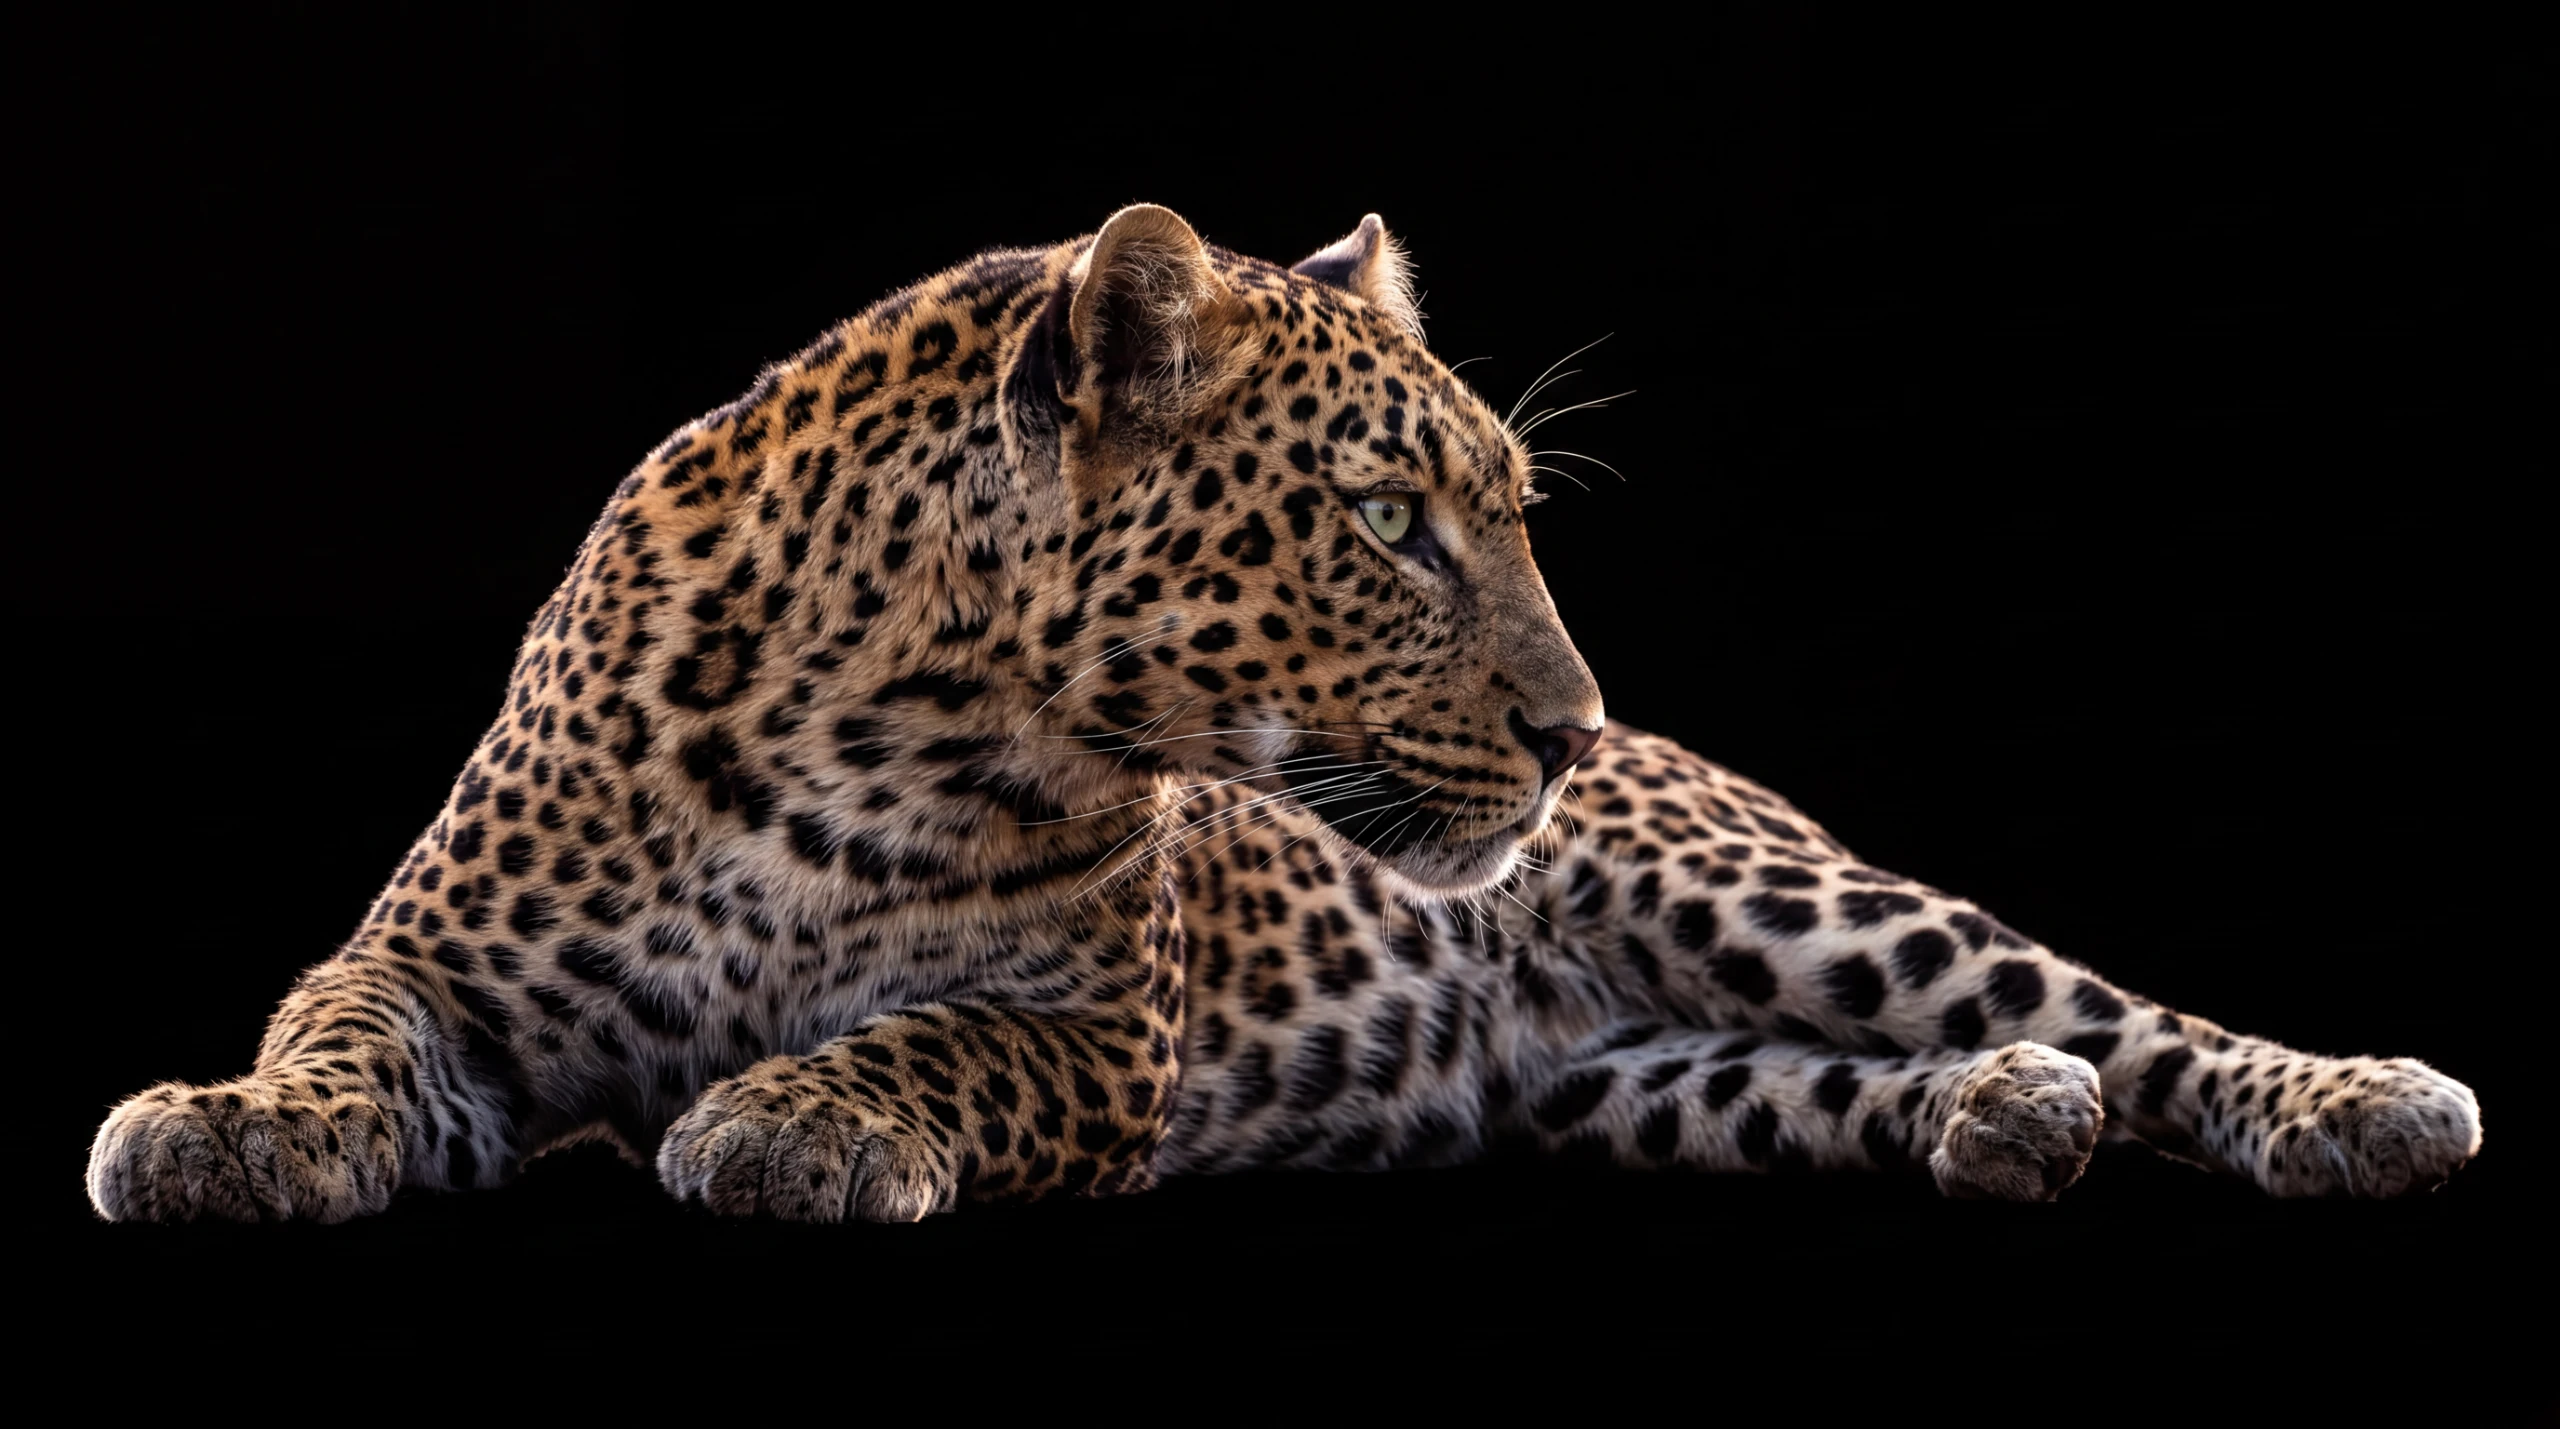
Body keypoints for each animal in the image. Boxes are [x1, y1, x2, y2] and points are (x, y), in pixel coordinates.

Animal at [88, 204, 2483, 1223]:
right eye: (1387, 521)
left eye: (1505, 511)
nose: (1567, 725)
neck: (884, 708)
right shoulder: (438, 962)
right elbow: (338, 1028)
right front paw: (225, 1124)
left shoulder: (1094, 1033)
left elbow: (925, 1037)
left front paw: (793, 1119)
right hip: (1624, 1085)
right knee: (1839, 1084)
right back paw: (1992, 1120)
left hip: (1778, 896)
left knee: (2116, 1018)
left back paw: (2353, 1100)